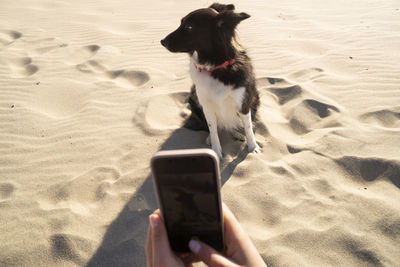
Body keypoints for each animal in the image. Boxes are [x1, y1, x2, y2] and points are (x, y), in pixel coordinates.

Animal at [161, 2, 260, 159]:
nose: (162, 41)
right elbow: (213, 130)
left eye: (189, 27)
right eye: (181, 23)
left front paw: (252, 147)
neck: (214, 66)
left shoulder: (244, 102)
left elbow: (249, 127)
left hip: (255, 99)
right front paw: (216, 151)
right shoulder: (206, 105)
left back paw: (238, 134)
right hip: (193, 99)